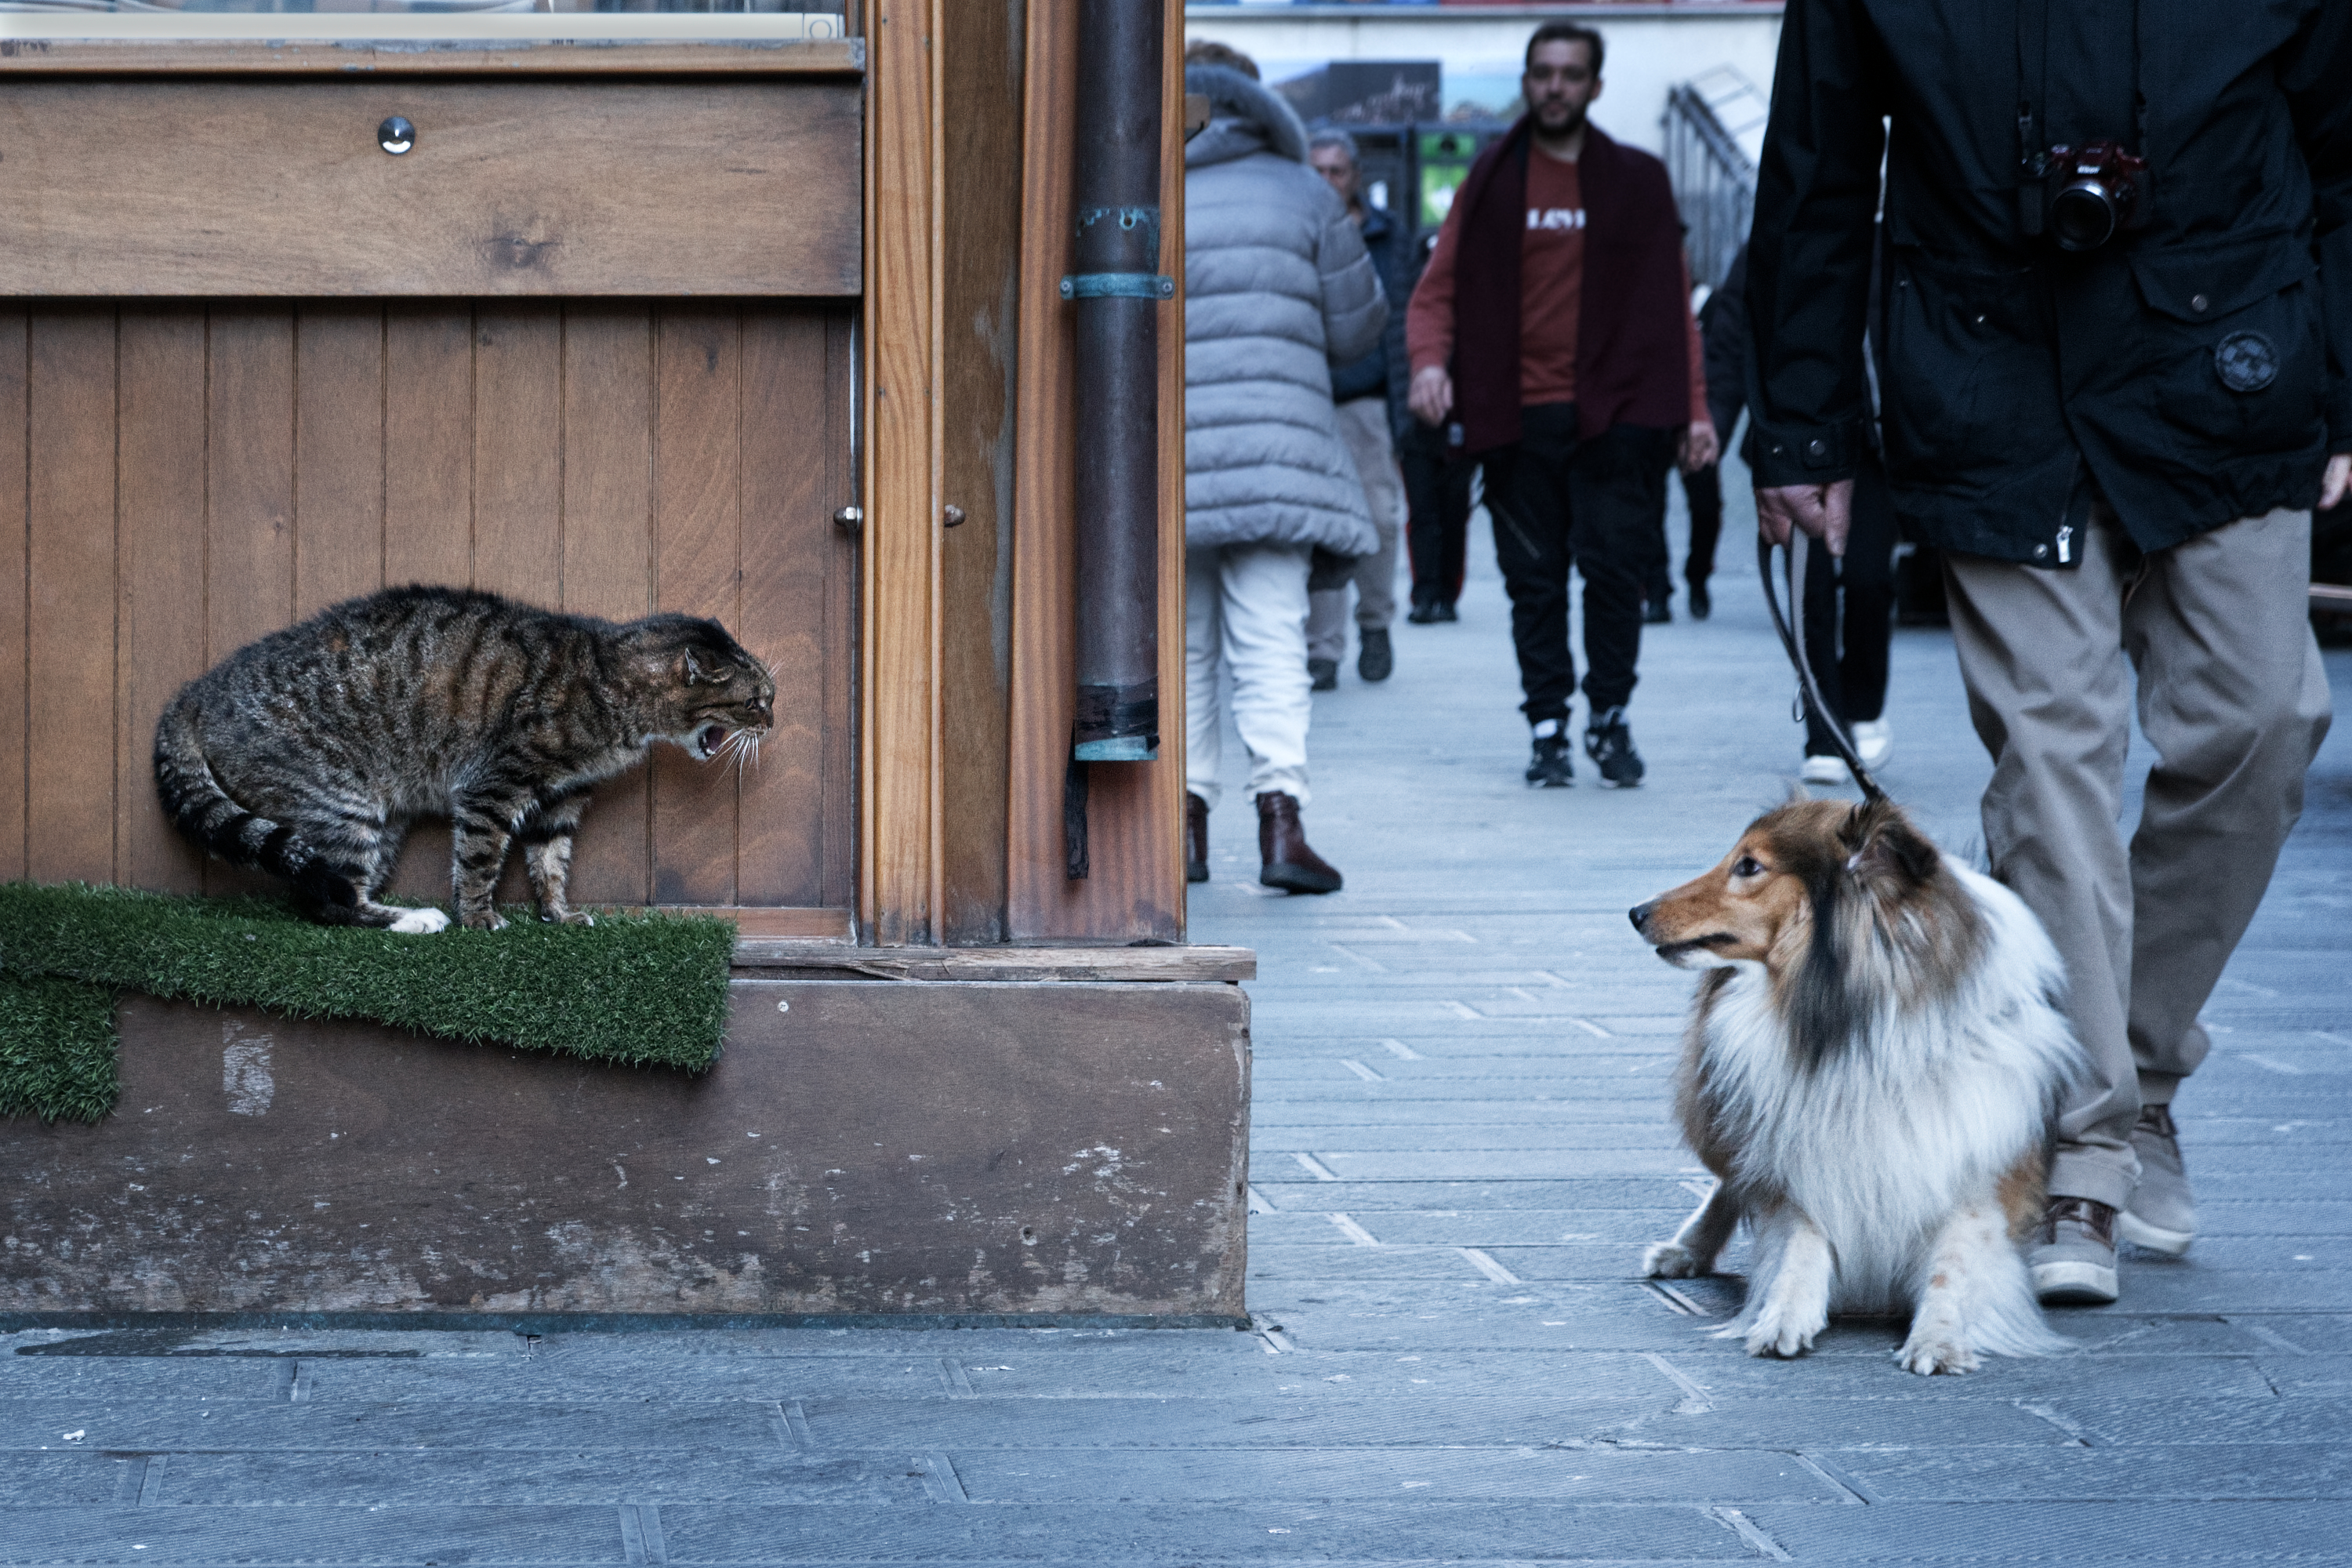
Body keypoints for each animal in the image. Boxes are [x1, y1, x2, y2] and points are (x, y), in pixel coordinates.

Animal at [151, 585, 776, 931]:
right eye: (756, 701)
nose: (773, 722)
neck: (611, 681)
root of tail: (197, 690)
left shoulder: (560, 799)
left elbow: (551, 860)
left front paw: (558, 914)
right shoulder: (494, 785)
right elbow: (479, 857)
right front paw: (478, 916)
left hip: (374, 817)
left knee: (337, 891)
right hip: (339, 801)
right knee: (331, 901)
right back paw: (416, 919)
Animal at [1628, 799, 2089, 1373]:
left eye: (1749, 866)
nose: (1636, 912)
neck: (1864, 1028)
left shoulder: (1979, 1160)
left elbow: (1954, 1263)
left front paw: (1938, 1340)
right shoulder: (1805, 1147)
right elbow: (1802, 1238)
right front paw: (1782, 1316)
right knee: (1727, 1180)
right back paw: (1686, 1250)